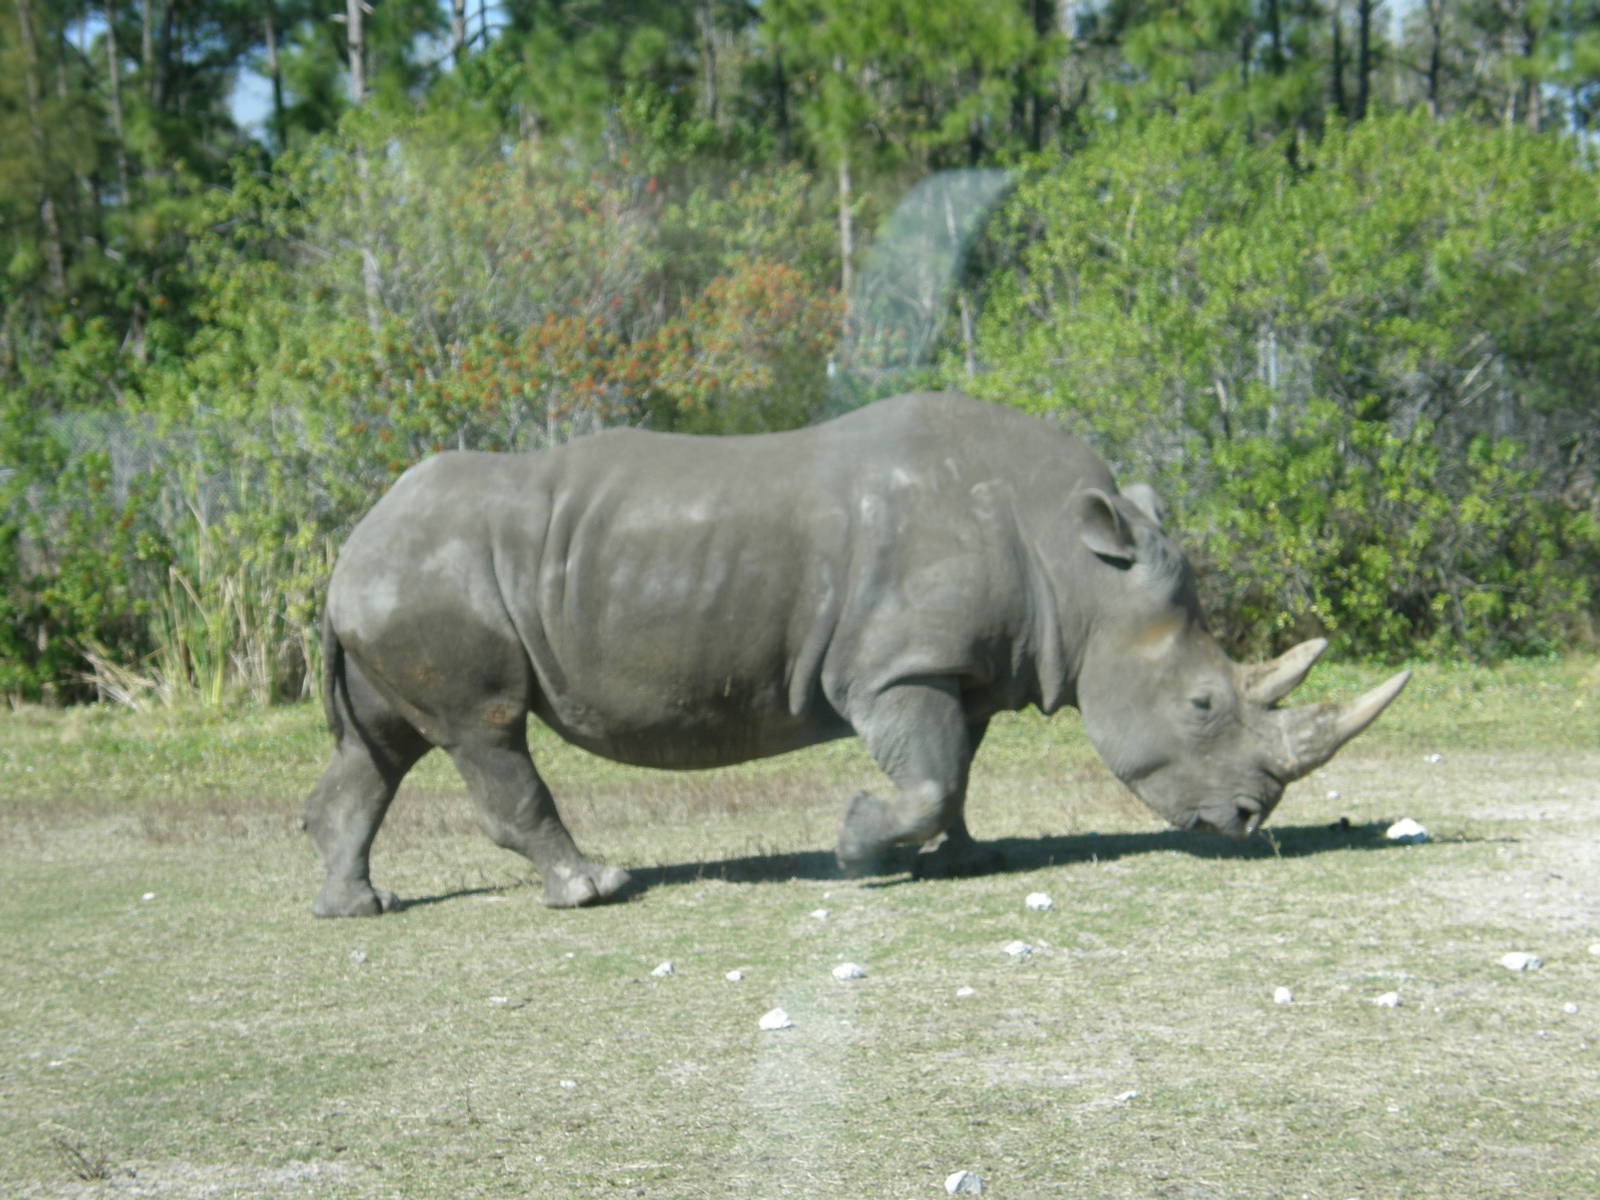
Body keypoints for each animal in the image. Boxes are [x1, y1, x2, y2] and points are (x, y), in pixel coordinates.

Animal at [304, 391, 1408, 916]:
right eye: (1203, 707)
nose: (1245, 821)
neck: (1080, 567)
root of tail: (353, 538)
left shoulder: (960, 667)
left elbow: (954, 773)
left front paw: (967, 858)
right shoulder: (893, 665)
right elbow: (923, 777)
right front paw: (852, 846)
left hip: (396, 584)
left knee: (383, 746)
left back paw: (357, 907)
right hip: (431, 582)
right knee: (484, 730)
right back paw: (595, 888)